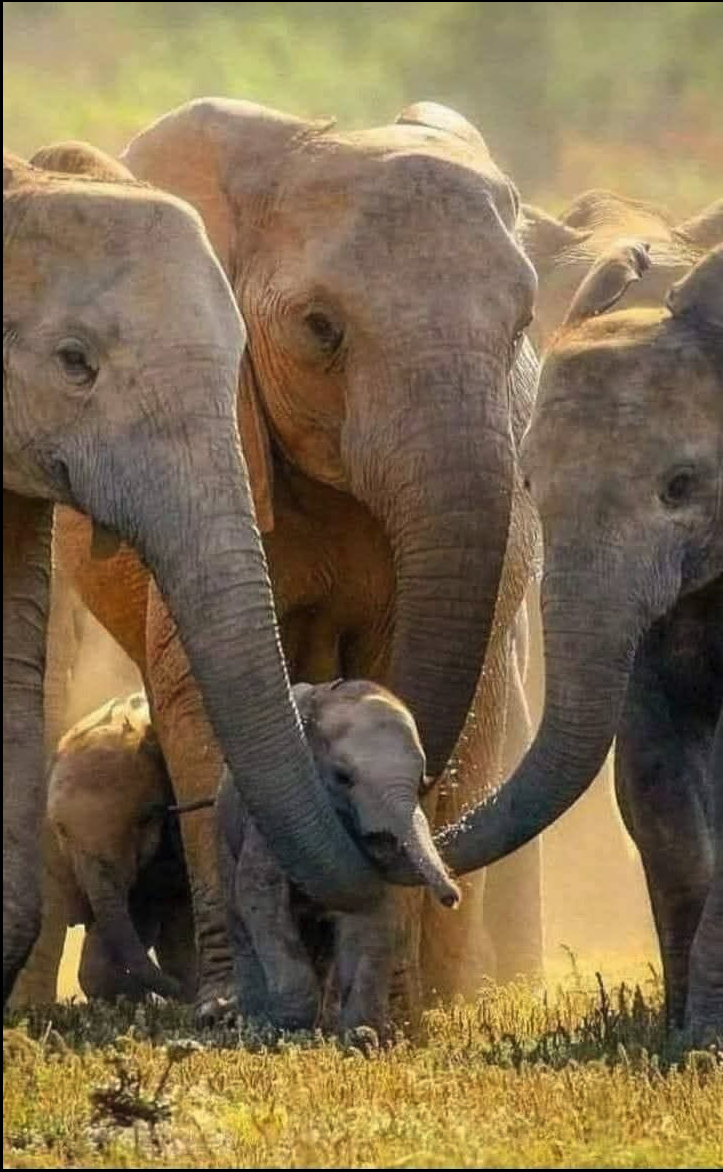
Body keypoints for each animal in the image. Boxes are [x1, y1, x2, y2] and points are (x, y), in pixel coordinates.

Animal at [217, 680, 459, 1034]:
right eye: (343, 777)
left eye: (422, 779)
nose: (452, 897)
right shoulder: (270, 825)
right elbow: (259, 893)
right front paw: (287, 1027)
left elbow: (375, 910)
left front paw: (362, 1036)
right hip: (223, 833)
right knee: (238, 917)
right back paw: (256, 1020)